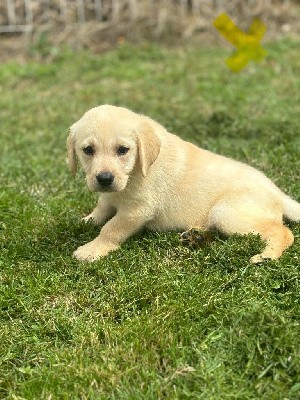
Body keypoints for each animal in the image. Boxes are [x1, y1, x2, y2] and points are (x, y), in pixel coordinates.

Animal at [67, 104, 298, 264]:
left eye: (123, 150)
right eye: (88, 150)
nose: (104, 179)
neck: (135, 172)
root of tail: (278, 193)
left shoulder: (137, 210)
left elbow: (111, 228)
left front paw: (92, 249)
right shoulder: (109, 195)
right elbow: (102, 207)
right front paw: (87, 220)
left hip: (227, 213)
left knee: (284, 232)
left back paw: (267, 255)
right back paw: (196, 236)